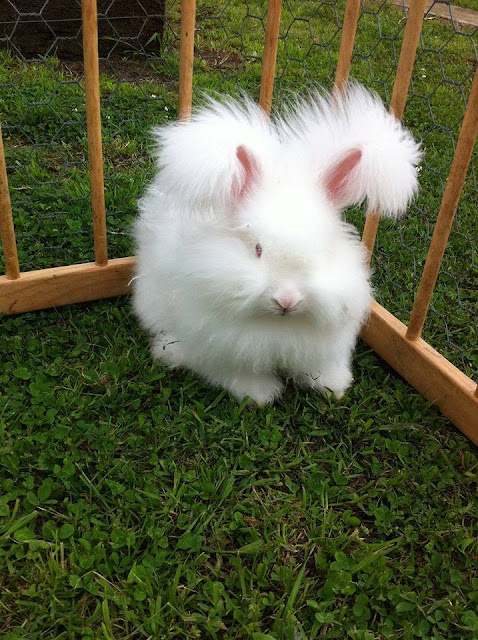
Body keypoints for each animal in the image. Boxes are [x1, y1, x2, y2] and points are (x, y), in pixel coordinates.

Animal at [133, 84, 420, 404]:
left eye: (323, 252)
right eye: (257, 249)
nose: (287, 300)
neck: (278, 325)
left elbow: (319, 368)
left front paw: (334, 387)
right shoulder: (221, 348)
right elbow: (233, 373)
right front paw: (259, 396)